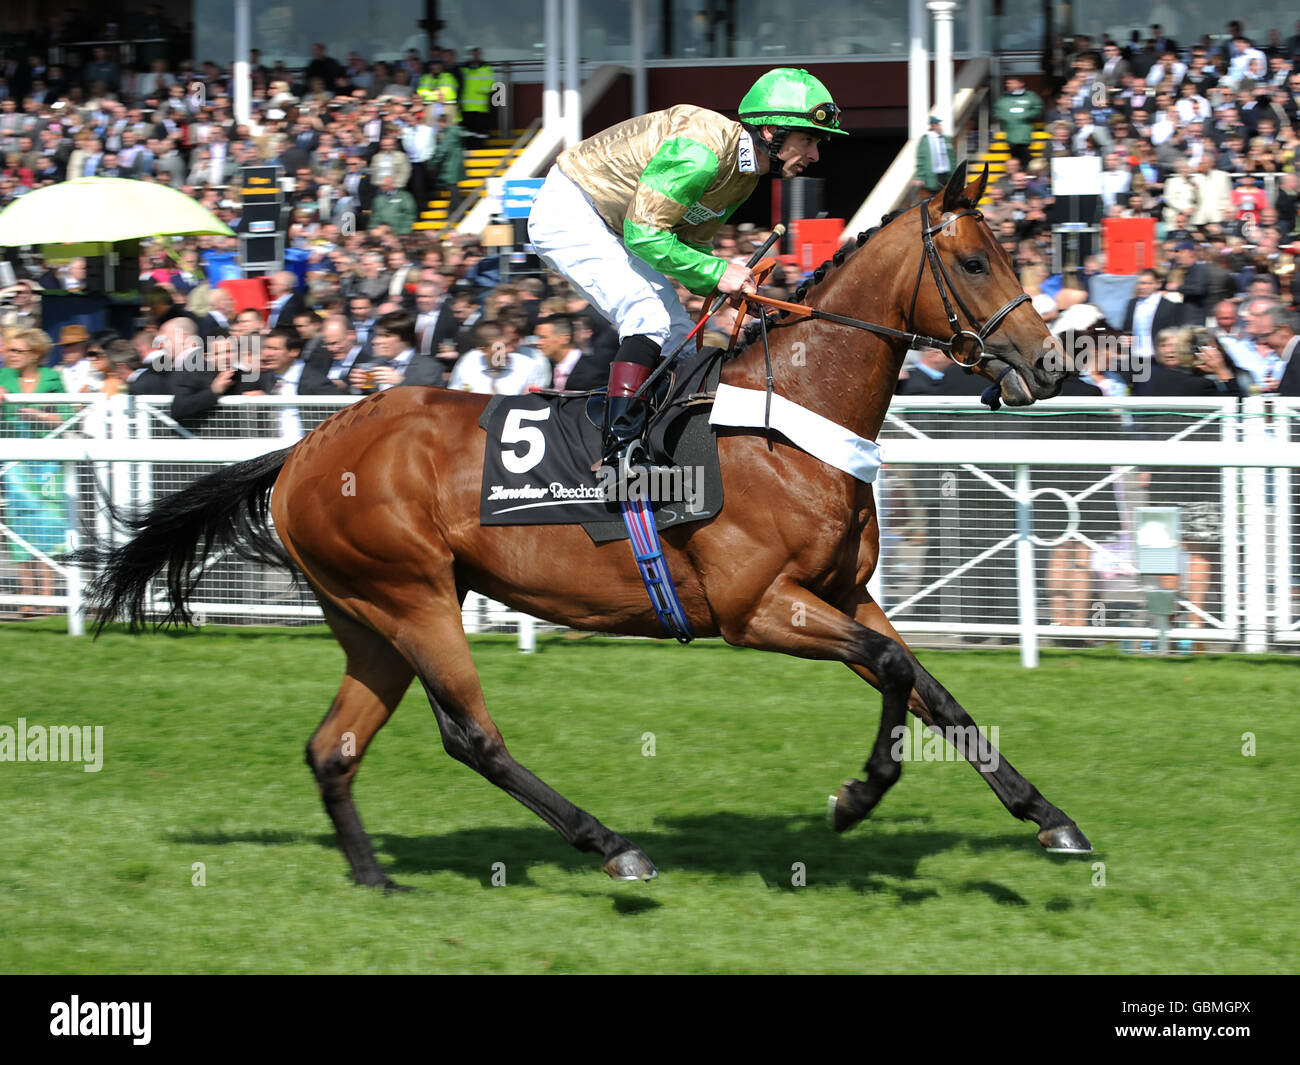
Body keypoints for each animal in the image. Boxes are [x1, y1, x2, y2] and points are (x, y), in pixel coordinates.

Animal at [86, 160, 1092, 889]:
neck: (787, 415)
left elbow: (930, 688)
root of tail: (303, 452)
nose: (1049, 363)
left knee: (333, 748)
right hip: (412, 596)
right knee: (471, 734)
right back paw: (612, 845)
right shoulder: (757, 608)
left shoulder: (844, 592)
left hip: (368, 616)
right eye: (974, 262)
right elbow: (890, 669)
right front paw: (856, 797)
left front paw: (1052, 819)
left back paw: (374, 877)